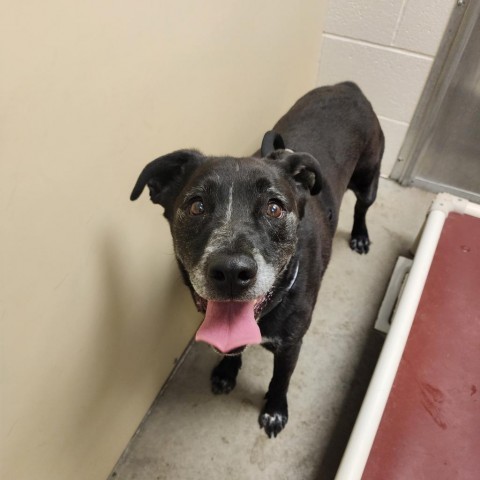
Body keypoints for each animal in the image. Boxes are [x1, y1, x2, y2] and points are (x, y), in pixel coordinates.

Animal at [129, 81, 384, 436]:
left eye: (274, 208)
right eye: (197, 206)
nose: (231, 272)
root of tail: (348, 86)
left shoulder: (292, 344)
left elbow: (280, 380)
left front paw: (275, 411)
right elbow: (232, 352)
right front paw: (226, 371)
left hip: (368, 178)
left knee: (363, 206)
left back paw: (360, 235)